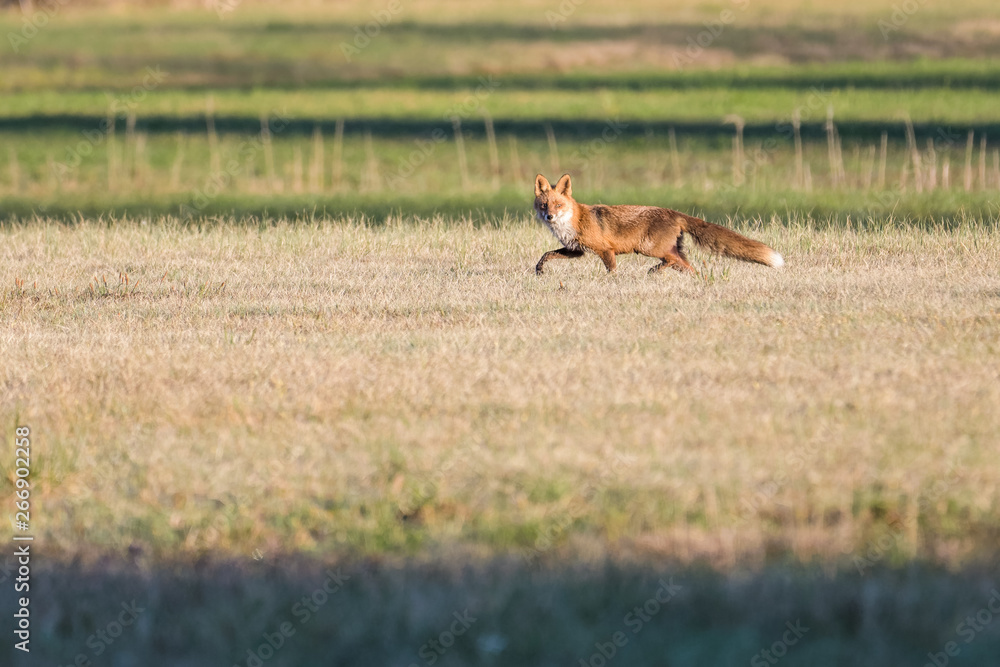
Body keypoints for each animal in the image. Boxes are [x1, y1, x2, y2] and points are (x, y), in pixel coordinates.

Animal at [533, 173, 784, 275]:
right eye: (544, 205)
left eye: (558, 205)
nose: (549, 217)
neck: (575, 220)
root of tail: (674, 212)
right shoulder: (576, 250)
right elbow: (546, 255)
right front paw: (539, 270)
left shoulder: (606, 250)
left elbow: (611, 271)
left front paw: (612, 283)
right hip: (670, 251)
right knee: (687, 266)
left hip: (648, 248)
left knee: (671, 261)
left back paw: (653, 271)